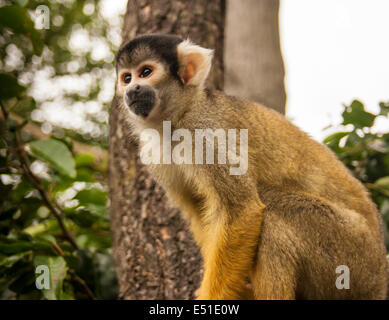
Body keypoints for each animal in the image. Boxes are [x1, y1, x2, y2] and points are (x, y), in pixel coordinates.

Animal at [115, 35, 388, 300]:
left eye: (146, 72)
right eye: (126, 77)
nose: (132, 89)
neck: (176, 119)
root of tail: (380, 279)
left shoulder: (205, 131)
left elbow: (240, 210)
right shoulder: (153, 154)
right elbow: (199, 212)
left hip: (353, 256)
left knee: (275, 213)